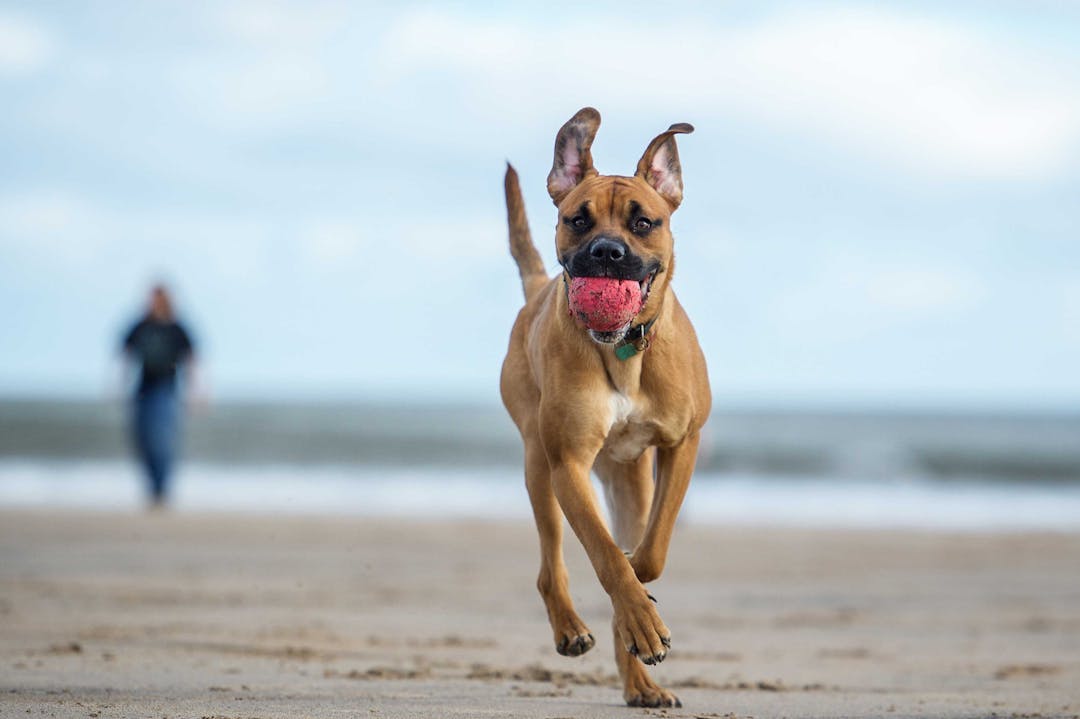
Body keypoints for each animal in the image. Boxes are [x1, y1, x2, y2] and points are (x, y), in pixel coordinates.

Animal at [501, 107, 712, 703]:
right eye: (578, 220)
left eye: (643, 223)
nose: (607, 252)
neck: (621, 350)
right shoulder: (568, 464)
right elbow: (606, 555)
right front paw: (637, 611)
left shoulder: (682, 443)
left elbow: (651, 550)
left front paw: (639, 602)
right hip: (538, 465)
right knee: (552, 565)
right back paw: (574, 628)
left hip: (628, 480)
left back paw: (640, 678)